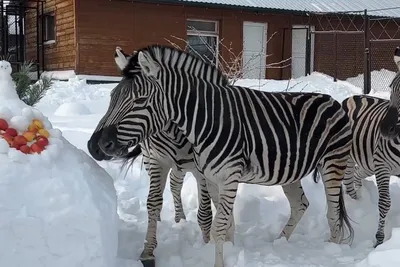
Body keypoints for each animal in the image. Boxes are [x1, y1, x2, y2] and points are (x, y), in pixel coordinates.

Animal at [87, 45, 354, 266]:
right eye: (112, 97)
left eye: (140, 100)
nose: (96, 146)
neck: (205, 120)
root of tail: (332, 101)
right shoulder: (211, 176)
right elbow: (224, 223)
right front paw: (230, 249)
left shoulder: (227, 177)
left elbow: (217, 224)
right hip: (290, 171)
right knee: (301, 204)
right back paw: (279, 242)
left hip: (332, 164)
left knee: (333, 214)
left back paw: (333, 251)